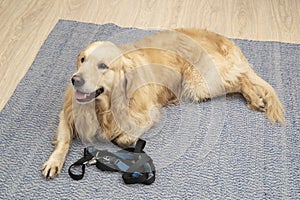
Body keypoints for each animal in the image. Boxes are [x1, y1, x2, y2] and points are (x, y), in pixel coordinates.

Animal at [41, 28, 284, 178]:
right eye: (83, 59)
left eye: (103, 66)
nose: (75, 80)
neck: (103, 106)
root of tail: (220, 38)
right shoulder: (67, 112)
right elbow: (64, 138)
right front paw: (54, 161)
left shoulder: (148, 115)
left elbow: (123, 137)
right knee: (241, 79)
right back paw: (255, 98)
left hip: (198, 84)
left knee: (240, 79)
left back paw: (256, 97)